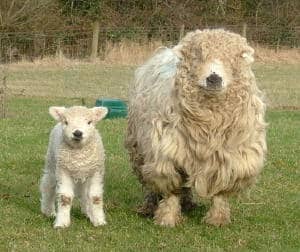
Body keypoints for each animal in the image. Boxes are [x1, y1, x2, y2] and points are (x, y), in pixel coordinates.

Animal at [125, 28, 266, 227]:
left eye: (235, 57)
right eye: (197, 55)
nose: (214, 78)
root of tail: (166, 50)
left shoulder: (230, 158)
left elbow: (220, 192)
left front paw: (218, 219)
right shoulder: (168, 155)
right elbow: (171, 190)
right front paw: (167, 218)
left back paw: (188, 203)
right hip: (140, 149)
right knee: (150, 183)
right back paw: (149, 206)